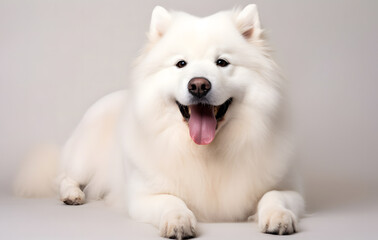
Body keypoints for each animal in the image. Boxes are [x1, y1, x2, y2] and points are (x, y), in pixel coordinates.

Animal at [14, 4, 306, 240]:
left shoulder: (292, 190)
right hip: (83, 159)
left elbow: (274, 196)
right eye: (181, 64)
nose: (198, 85)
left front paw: (278, 217)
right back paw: (72, 195)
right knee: (63, 177)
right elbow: (171, 201)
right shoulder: (144, 196)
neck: (204, 153)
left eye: (222, 62)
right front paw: (178, 221)